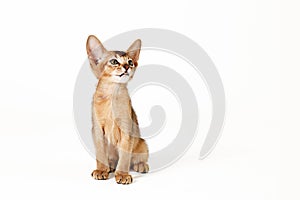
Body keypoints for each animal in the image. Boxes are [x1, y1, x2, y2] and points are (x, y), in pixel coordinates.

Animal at [85, 34, 149, 184]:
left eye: (130, 62)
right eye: (114, 61)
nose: (126, 67)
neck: (112, 95)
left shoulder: (127, 128)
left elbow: (125, 156)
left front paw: (123, 174)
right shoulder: (97, 129)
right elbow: (100, 153)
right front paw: (101, 170)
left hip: (142, 143)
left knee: (136, 159)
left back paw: (140, 165)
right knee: (112, 159)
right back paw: (110, 166)